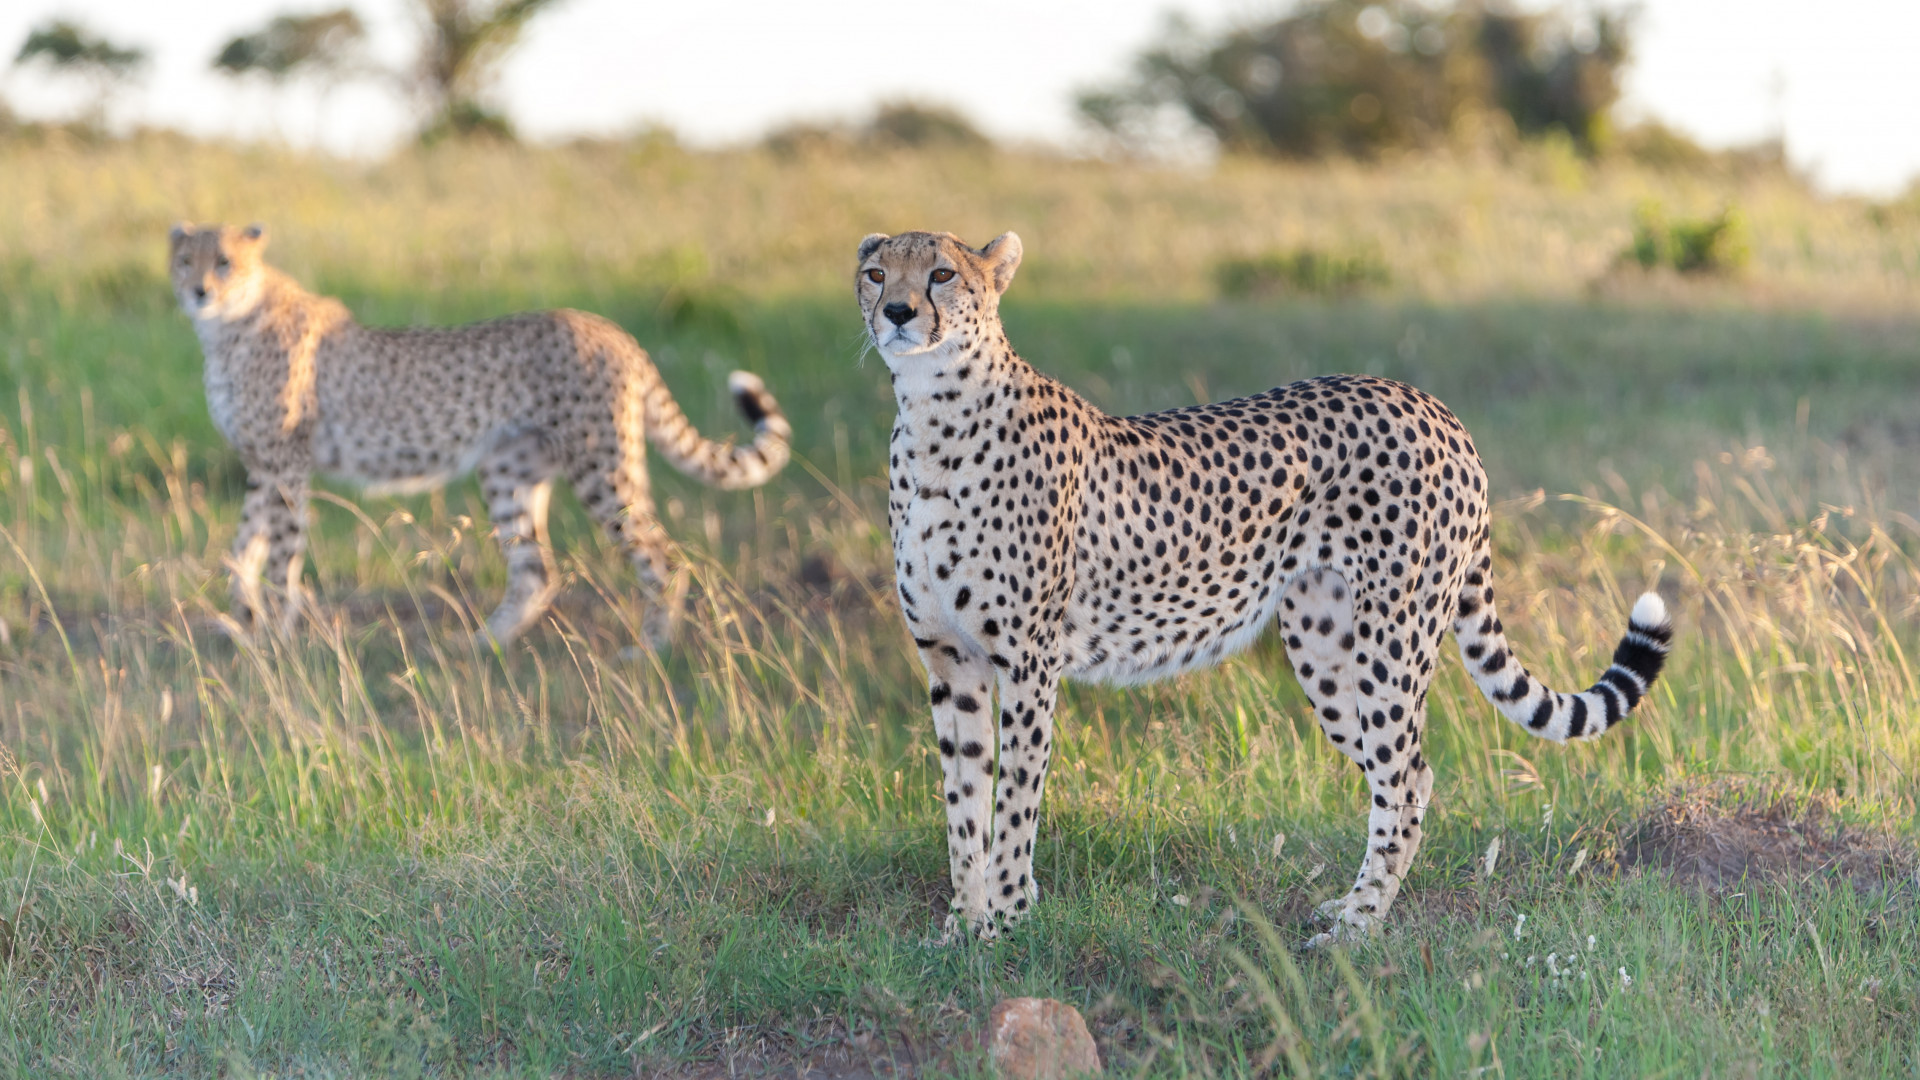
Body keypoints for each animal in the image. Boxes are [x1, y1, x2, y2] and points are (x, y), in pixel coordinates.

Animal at [170, 220, 787, 638]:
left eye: (223, 261)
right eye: (183, 260)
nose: (199, 292)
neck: (228, 327)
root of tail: (607, 326)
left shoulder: (287, 463)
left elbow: (281, 551)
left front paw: (275, 634)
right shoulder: (262, 464)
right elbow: (242, 545)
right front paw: (242, 622)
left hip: (602, 467)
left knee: (664, 558)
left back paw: (650, 651)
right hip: (510, 467)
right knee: (537, 572)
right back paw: (482, 646)